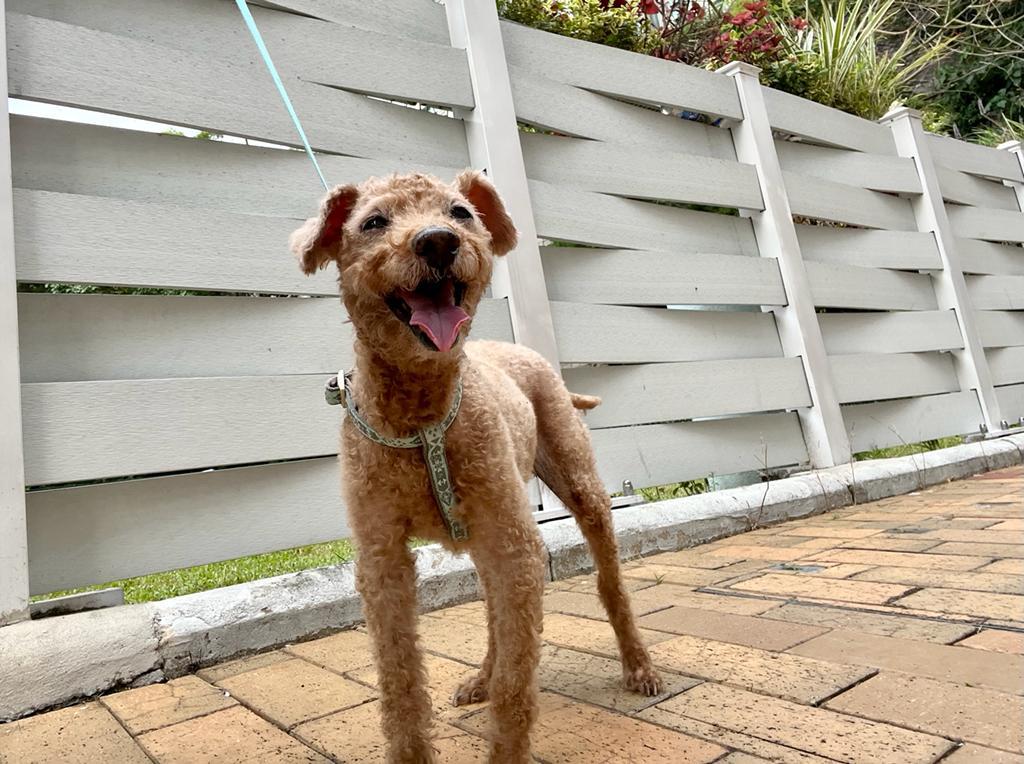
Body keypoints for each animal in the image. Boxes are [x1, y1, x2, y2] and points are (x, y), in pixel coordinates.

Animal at [290, 171, 662, 763]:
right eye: (373, 222)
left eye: (460, 212)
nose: (437, 242)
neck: (420, 417)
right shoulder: (382, 558)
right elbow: (400, 682)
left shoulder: (515, 546)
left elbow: (516, 684)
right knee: (494, 613)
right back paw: (481, 677)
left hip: (578, 487)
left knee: (610, 586)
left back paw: (638, 667)